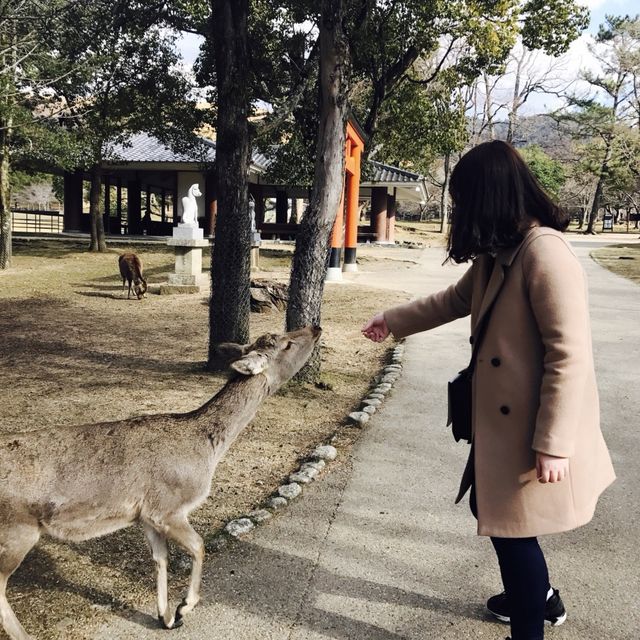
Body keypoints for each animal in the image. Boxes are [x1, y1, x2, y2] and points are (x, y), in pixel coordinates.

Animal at [0, 328, 320, 636]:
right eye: (287, 343)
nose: (315, 327)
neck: (207, 452)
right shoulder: (168, 508)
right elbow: (198, 545)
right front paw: (183, 607)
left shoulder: (146, 516)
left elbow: (160, 559)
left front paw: (165, 617)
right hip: (17, 529)